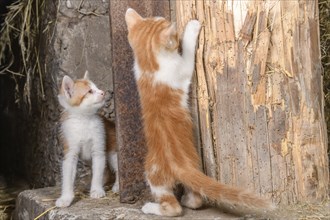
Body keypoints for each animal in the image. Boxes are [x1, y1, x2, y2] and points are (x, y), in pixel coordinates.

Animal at [55, 71, 118, 207]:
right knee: (106, 172)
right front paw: (66, 198)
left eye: (97, 88)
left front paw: (96, 190)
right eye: (89, 91)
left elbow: (98, 172)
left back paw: (117, 186)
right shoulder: (70, 153)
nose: (103, 92)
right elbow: (67, 177)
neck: (84, 119)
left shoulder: (98, 150)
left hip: (113, 152)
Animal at [124, 8, 274, 217]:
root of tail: (181, 165)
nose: (168, 21)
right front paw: (192, 28)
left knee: (195, 197)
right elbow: (188, 56)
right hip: (155, 176)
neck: (149, 64)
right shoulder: (181, 69)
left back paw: (186, 200)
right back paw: (152, 207)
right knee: (174, 208)